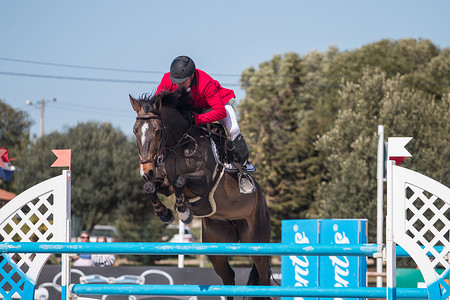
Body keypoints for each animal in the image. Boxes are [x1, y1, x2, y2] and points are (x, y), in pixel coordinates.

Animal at [129, 89, 270, 300]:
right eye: (135, 131)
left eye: (157, 131)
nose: (146, 172)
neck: (180, 145)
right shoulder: (164, 183)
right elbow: (150, 188)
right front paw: (164, 213)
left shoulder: (202, 181)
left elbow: (181, 181)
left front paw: (183, 211)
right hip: (217, 242)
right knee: (228, 276)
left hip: (257, 241)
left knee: (264, 278)